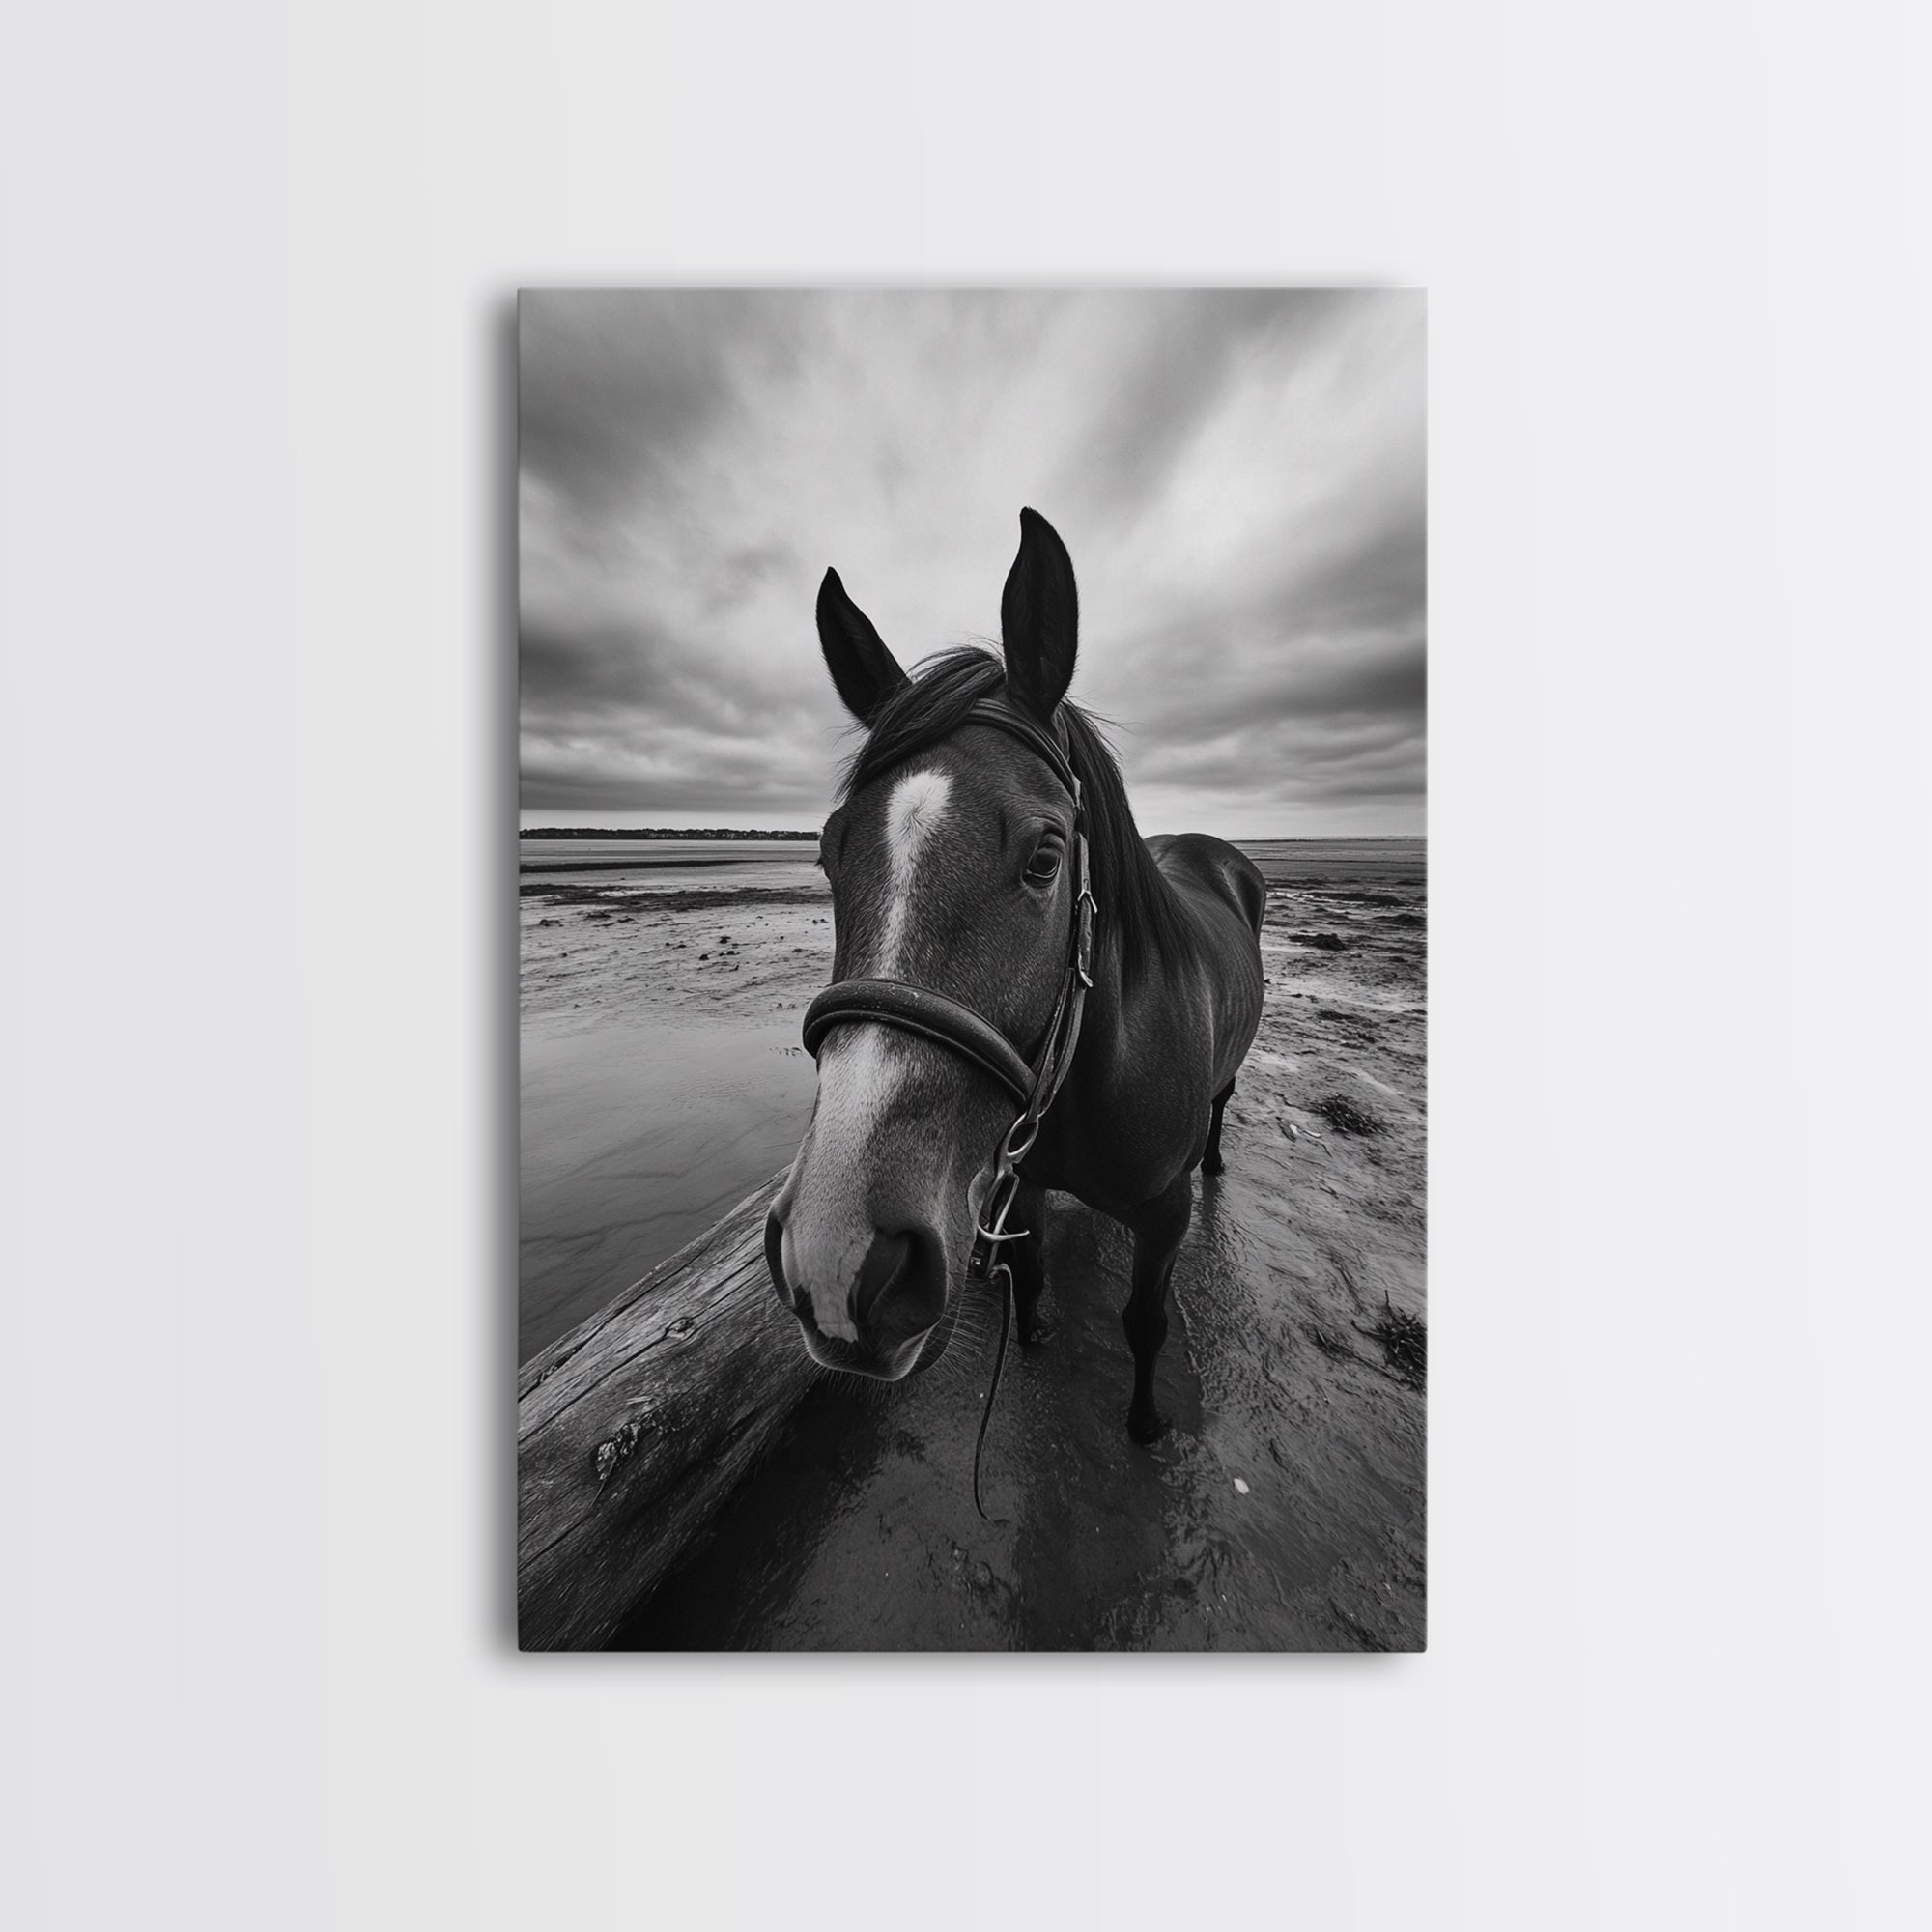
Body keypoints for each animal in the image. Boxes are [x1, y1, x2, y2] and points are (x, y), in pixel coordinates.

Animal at [764, 508, 1266, 1445]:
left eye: (1044, 857)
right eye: (829, 852)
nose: (838, 1254)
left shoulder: (1164, 1216)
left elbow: (1145, 1320)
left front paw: (1146, 1422)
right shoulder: (1020, 1181)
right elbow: (1028, 1278)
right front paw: (1032, 1335)